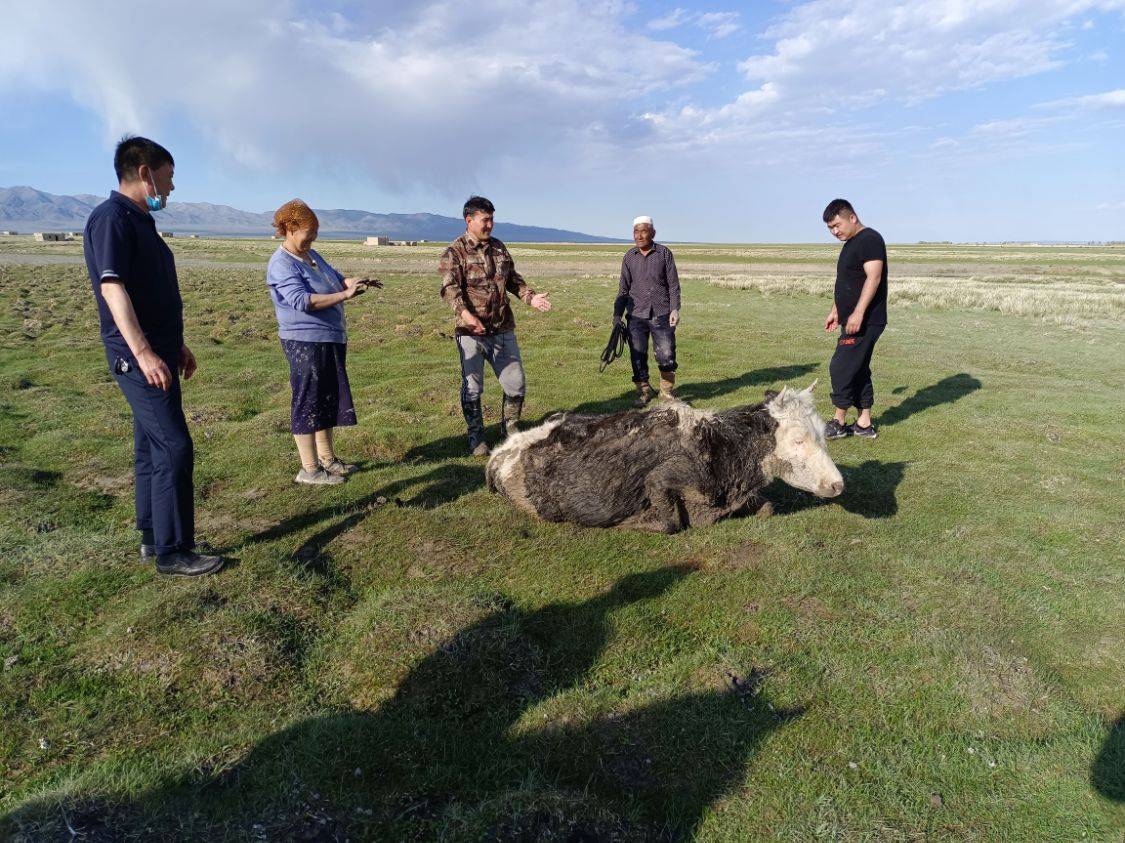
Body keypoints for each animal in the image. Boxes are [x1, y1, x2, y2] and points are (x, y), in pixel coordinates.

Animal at [486, 382, 846, 533]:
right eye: (798, 439)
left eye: (823, 433)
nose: (837, 484)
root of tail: (498, 454)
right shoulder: (661, 480)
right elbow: (670, 522)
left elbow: (767, 507)